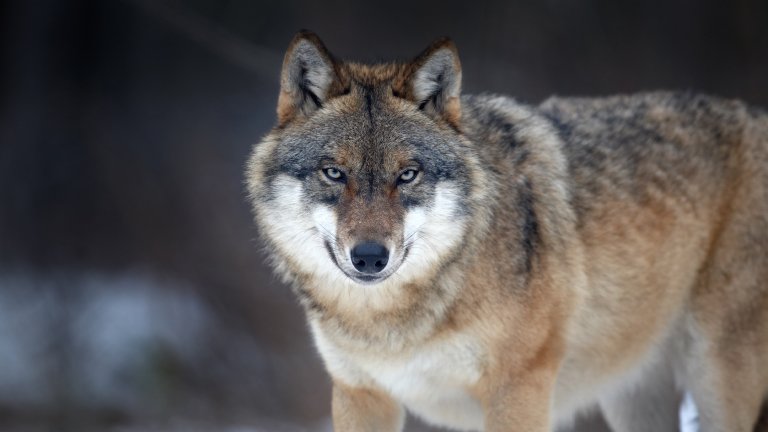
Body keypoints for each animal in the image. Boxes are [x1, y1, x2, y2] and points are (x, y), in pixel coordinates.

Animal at [245, 31, 768, 431]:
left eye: (408, 175)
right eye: (334, 173)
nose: (370, 256)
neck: (393, 323)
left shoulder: (518, 388)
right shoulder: (360, 393)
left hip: (715, 376)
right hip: (632, 394)